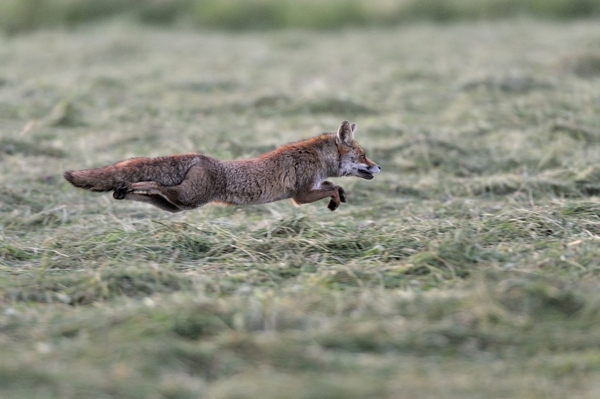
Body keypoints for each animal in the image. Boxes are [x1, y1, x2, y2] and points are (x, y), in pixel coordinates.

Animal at [64, 121, 380, 212]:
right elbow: (331, 187)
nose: (378, 167)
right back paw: (127, 185)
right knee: (153, 183)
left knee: (149, 193)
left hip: (177, 206)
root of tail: (198, 157)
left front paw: (340, 197)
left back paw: (121, 190)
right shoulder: (299, 196)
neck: (317, 158)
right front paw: (336, 199)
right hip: (188, 198)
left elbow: (332, 185)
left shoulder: (311, 187)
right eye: (364, 155)